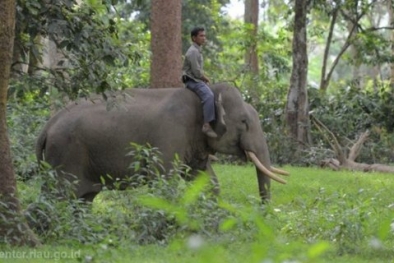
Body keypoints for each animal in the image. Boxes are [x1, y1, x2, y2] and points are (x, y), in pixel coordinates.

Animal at [36, 83, 290, 203]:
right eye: (244, 122)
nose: (264, 212)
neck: (205, 94)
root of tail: (46, 127)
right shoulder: (170, 135)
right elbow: (164, 178)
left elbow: (207, 179)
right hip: (65, 155)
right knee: (59, 198)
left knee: (83, 200)